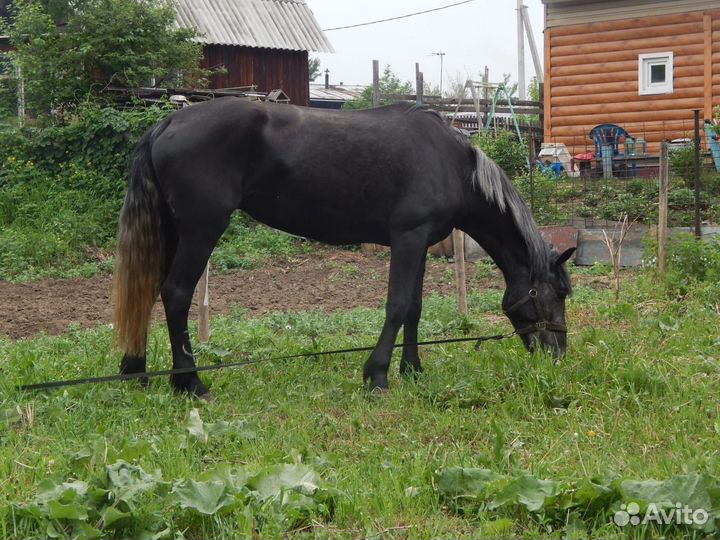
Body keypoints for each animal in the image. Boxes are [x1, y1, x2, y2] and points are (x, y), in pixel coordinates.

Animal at [112, 98, 575, 400]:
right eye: (556, 293)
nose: (558, 355)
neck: (452, 163)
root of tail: (168, 122)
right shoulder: (408, 238)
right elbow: (397, 306)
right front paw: (378, 376)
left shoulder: (422, 242)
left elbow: (414, 309)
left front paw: (413, 370)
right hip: (201, 231)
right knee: (176, 294)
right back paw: (190, 382)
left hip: (175, 231)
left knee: (149, 290)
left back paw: (137, 373)